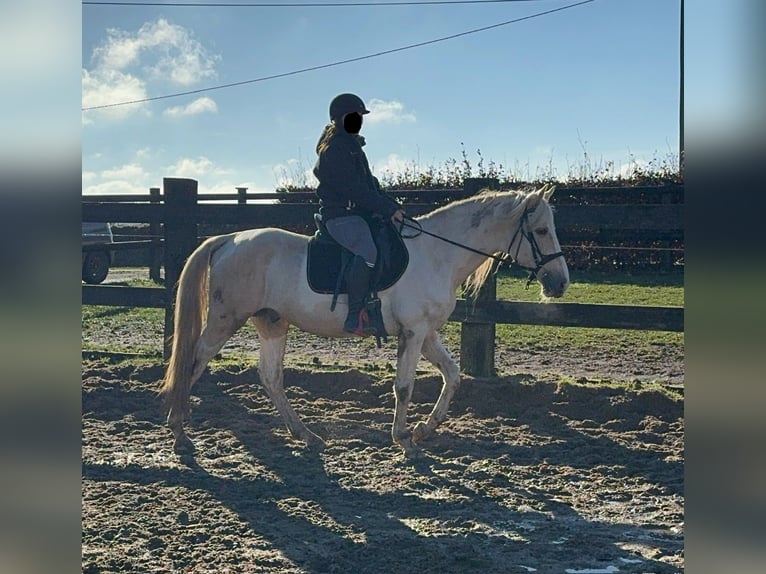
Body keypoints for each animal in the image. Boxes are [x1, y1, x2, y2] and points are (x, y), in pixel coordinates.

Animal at [162, 184, 568, 460]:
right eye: (542, 231)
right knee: (192, 364)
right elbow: (403, 387)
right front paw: (404, 439)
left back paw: (306, 435)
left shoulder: (427, 333)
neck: (437, 254)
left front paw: (423, 430)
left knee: (271, 378)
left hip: (272, 323)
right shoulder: (414, 332)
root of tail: (229, 238)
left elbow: (453, 376)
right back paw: (179, 432)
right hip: (225, 320)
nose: (560, 283)